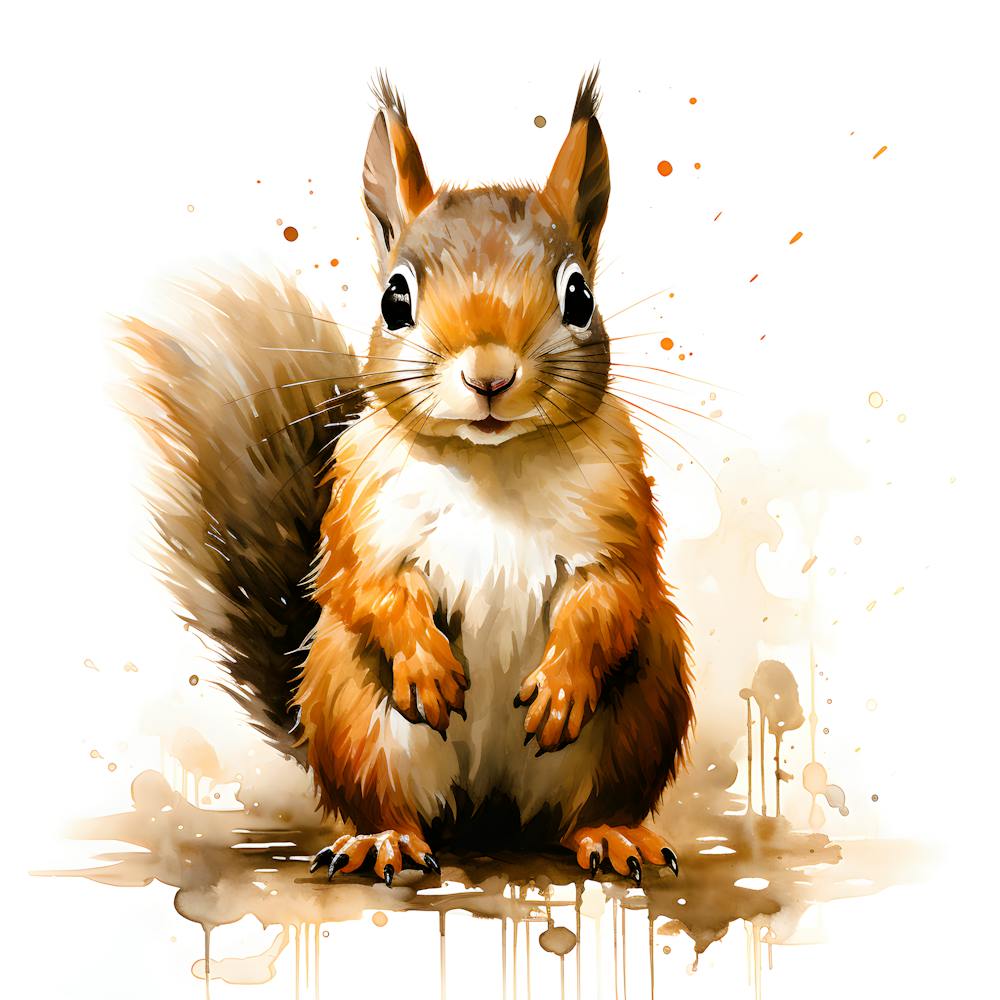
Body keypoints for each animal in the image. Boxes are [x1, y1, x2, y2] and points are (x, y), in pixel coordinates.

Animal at [123, 70, 694, 887]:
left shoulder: (617, 518)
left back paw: (613, 833)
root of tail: (491, 816)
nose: (490, 375)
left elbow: (610, 595)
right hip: (356, 714)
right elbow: (369, 587)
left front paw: (562, 685)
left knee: (585, 807)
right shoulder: (361, 515)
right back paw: (383, 841)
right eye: (395, 298)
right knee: (390, 800)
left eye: (580, 296)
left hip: (644, 703)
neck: (491, 462)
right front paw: (425, 666)